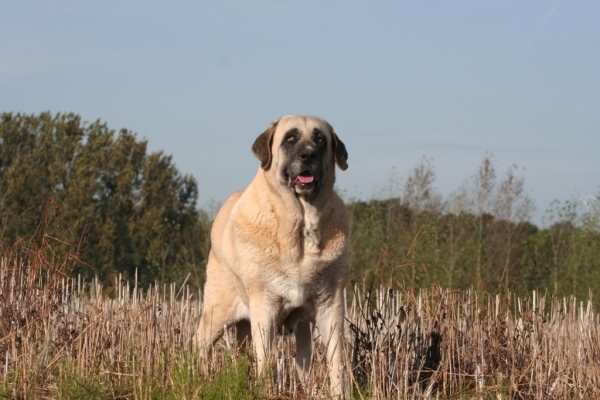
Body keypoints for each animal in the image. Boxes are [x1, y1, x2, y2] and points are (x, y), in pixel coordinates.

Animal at [195, 114, 350, 396]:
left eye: (320, 139)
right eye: (290, 138)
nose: (308, 155)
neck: (300, 229)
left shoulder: (330, 304)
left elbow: (336, 360)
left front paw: (339, 393)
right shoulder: (265, 307)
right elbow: (265, 360)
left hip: (301, 328)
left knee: (303, 361)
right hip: (217, 312)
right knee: (200, 343)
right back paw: (197, 376)